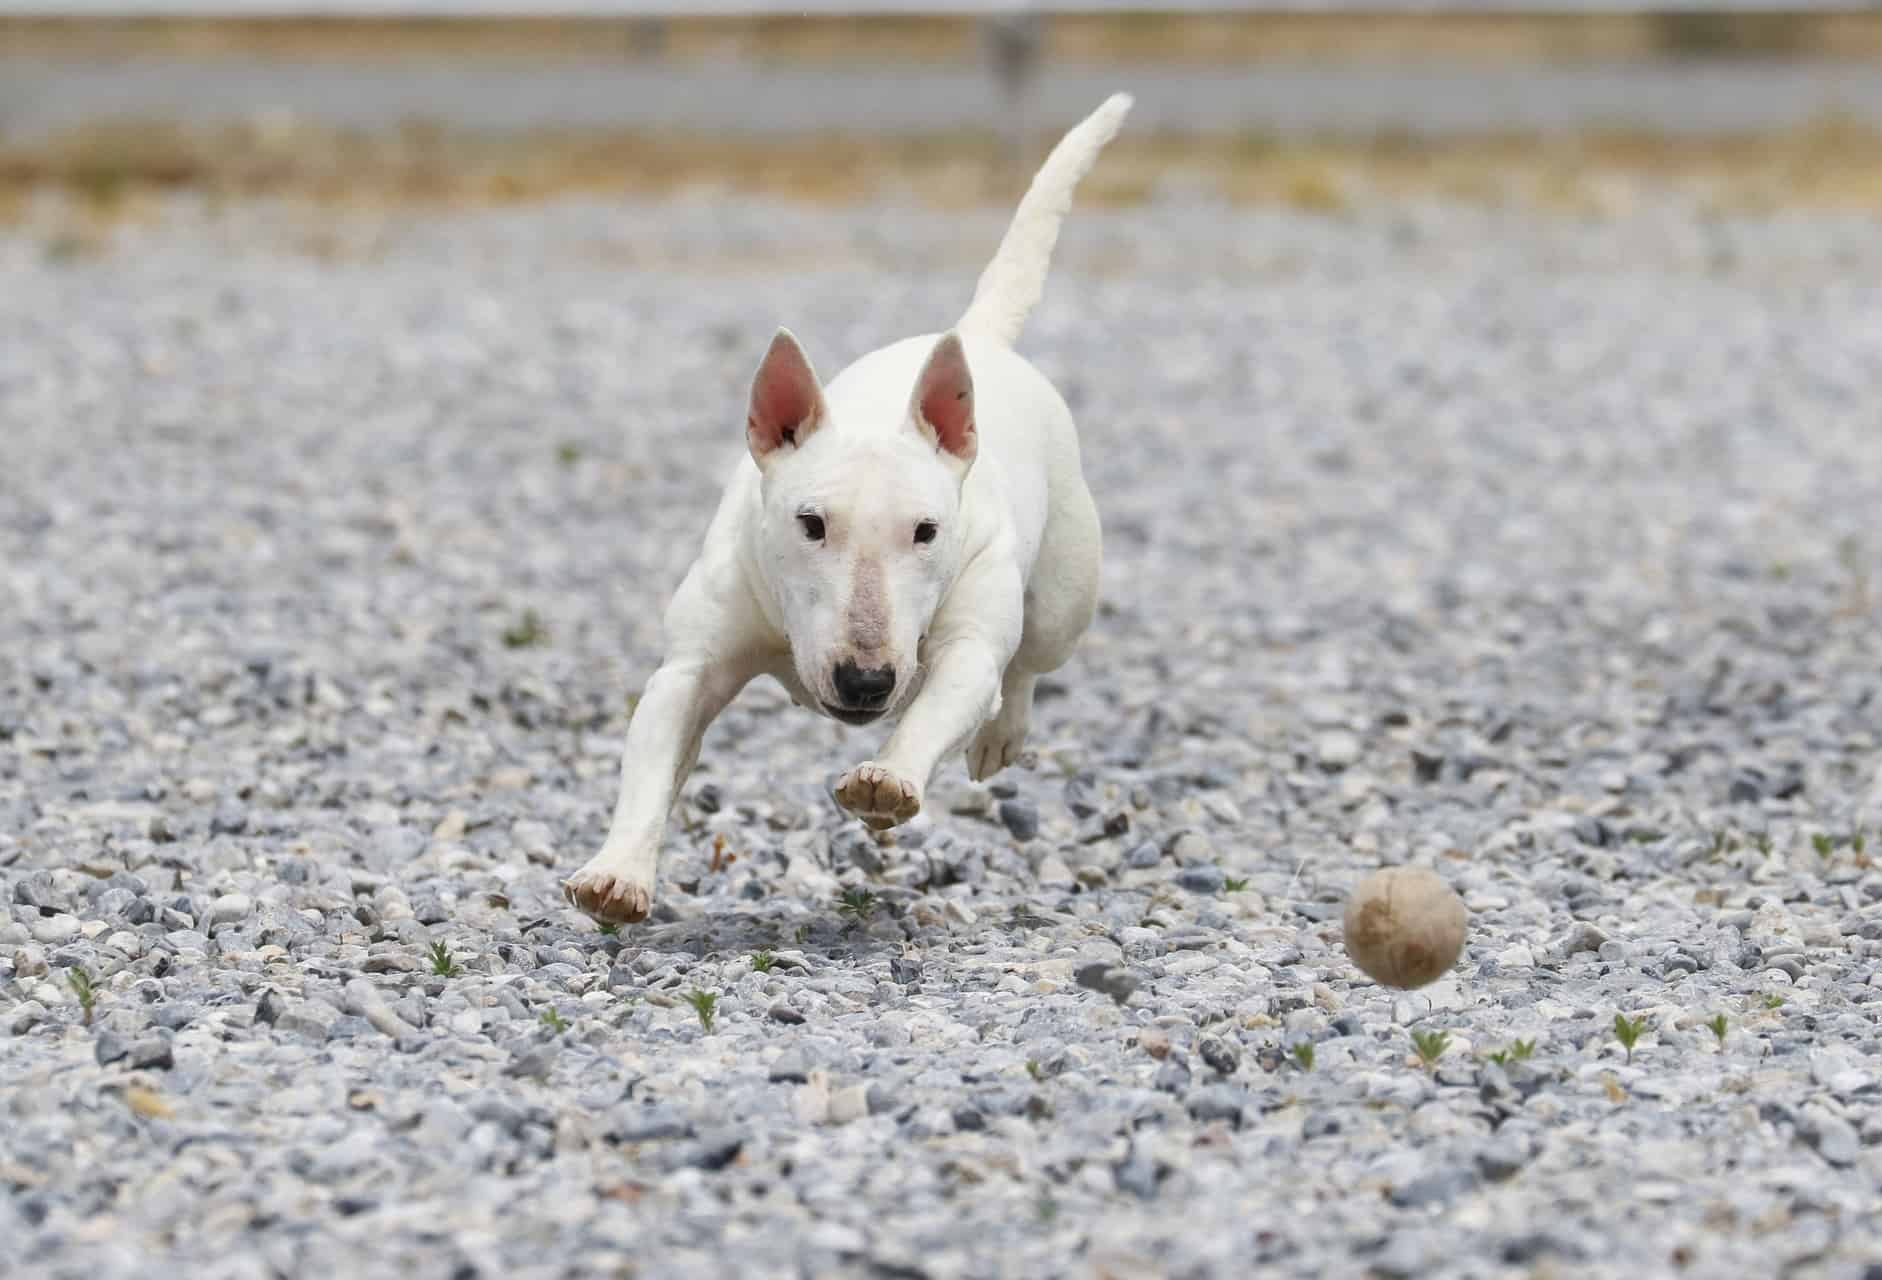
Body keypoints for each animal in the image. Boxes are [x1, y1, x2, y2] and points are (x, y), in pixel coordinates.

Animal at [564, 95, 1129, 926]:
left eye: (925, 532)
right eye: (811, 524)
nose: (867, 683)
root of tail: (980, 343)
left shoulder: (965, 638)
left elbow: (950, 691)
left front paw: (886, 780)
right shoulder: (693, 661)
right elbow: (653, 752)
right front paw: (617, 874)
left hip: (1062, 589)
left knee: (1028, 658)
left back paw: (1002, 731)